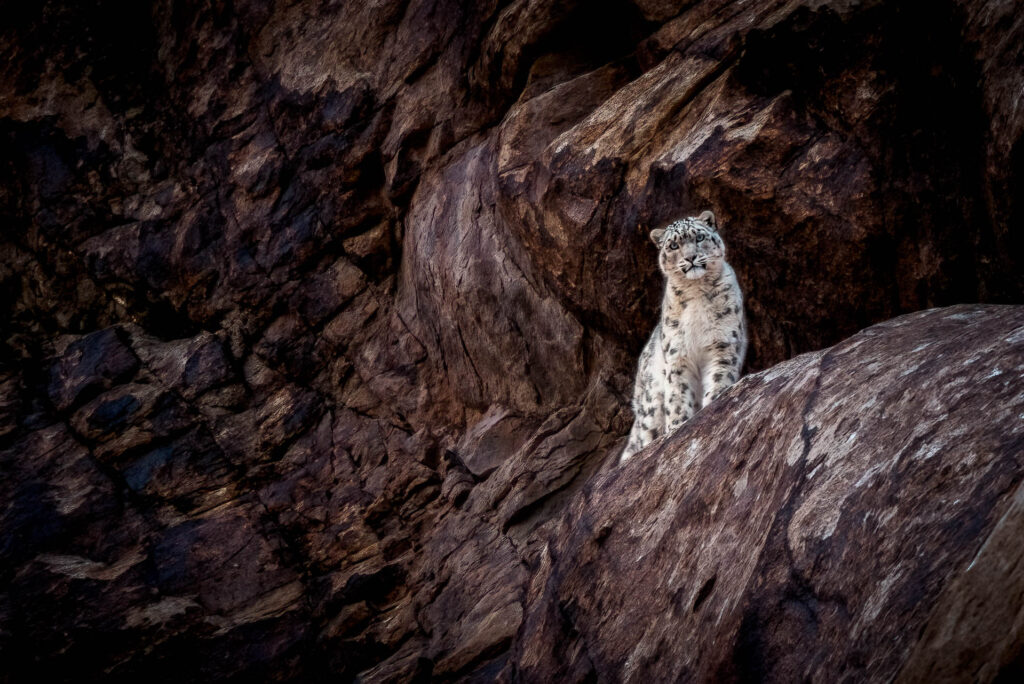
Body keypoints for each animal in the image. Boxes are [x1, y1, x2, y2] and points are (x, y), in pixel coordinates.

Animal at [618, 210, 749, 462]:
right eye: (673, 245)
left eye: (699, 237)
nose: (690, 258)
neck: (697, 291)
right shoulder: (677, 355)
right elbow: (677, 396)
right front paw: (678, 425)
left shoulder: (724, 344)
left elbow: (719, 377)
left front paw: (714, 401)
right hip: (650, 404)